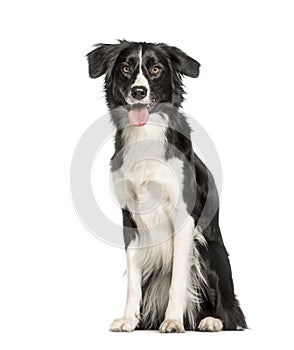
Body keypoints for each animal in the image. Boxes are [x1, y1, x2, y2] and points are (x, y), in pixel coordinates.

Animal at [86, 39, 246, 332]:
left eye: (156, 69)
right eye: (125, 68)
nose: (138, 91)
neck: (146, 134)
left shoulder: (184, 217)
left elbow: (178, 280)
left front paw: (172, 320)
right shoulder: (129, 217)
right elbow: (133, 282)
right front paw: (128, 319)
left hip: (210, 251)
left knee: (232, 314)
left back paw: (210, 320)